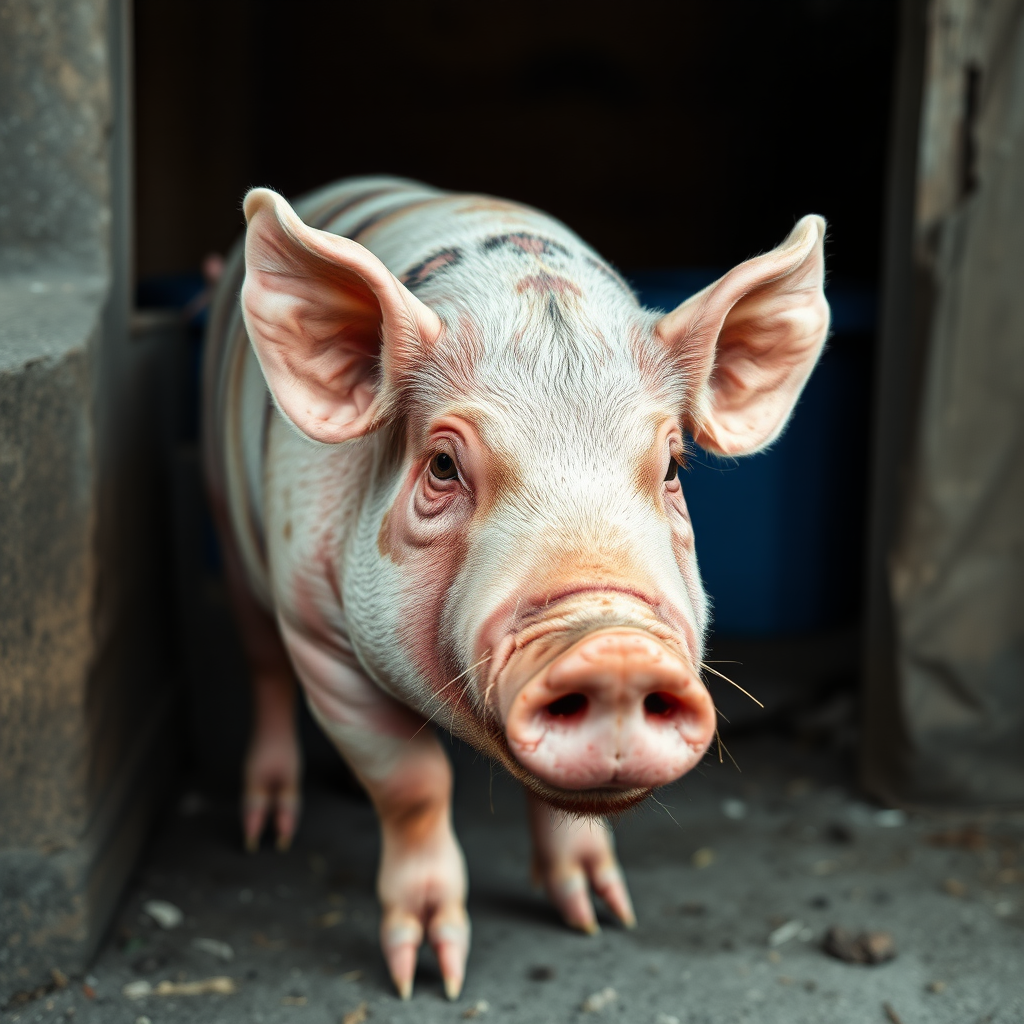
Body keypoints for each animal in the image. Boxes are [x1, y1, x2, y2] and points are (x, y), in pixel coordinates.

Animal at [201, 176, 831, 999]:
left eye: (671, 466)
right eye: (442, 465)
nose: (616, 651)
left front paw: (600, 917)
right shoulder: (319, 634)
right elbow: (412, 785)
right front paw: (427, 978)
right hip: (227, 520)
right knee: (262, 665)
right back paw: (264, 832)